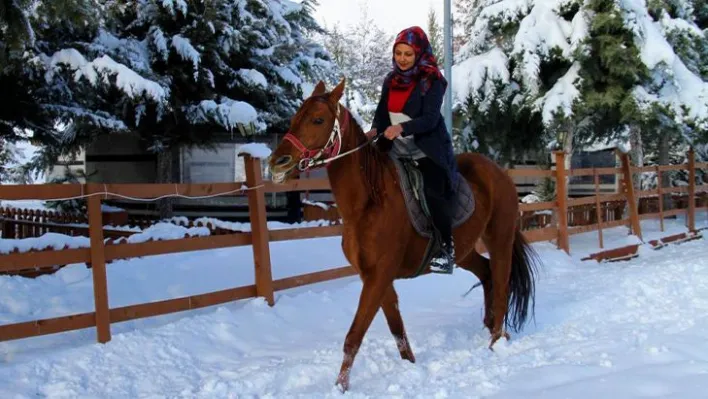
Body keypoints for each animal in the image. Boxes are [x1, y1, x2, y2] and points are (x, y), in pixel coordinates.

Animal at [266, 79, 536, 392]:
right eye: (295, 117)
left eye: (318, 120)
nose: (278, 162)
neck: (369, 203)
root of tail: (499, 173)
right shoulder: (374, 277)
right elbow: (396, 329)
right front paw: (410, 367)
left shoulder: (379, 275)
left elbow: (353, 336)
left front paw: (340, 387)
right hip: (465, 251)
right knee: (487, 274)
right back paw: (491, 327)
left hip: (500, 239)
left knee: (502, 284)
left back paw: (495, 341)